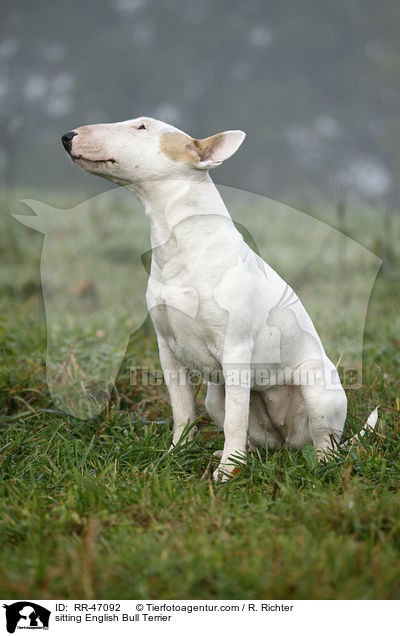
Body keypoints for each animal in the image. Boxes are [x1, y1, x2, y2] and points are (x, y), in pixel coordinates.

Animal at [61, 117, 346, 480]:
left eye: (141, 127)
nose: (67, 136)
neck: (181, 241)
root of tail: (286, 442)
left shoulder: (236, 351)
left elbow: (236, 419)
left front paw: (228, 472)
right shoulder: (167, 351)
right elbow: (183, 411)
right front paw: (176, 454)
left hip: (318, 392)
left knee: (324, 441)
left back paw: (319, 464)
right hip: (216, 398)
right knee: (248, 434)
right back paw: (236, 454)